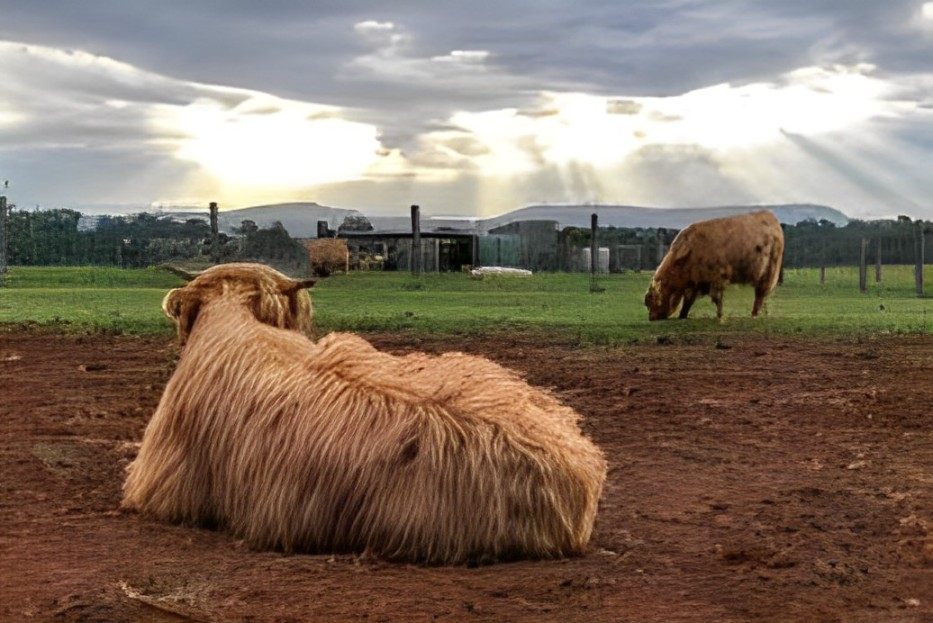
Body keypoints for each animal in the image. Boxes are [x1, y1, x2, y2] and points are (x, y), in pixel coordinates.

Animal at [644, 212, 784, 324]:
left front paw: (720, 316)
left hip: (768, 273)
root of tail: (771, 218)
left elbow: (717, 299)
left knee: (760, 295)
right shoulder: (695, 282)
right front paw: (682, 315)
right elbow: (688, 301)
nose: (651, 318)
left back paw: (754, 314)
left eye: (652, 300)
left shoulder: (716, 279)